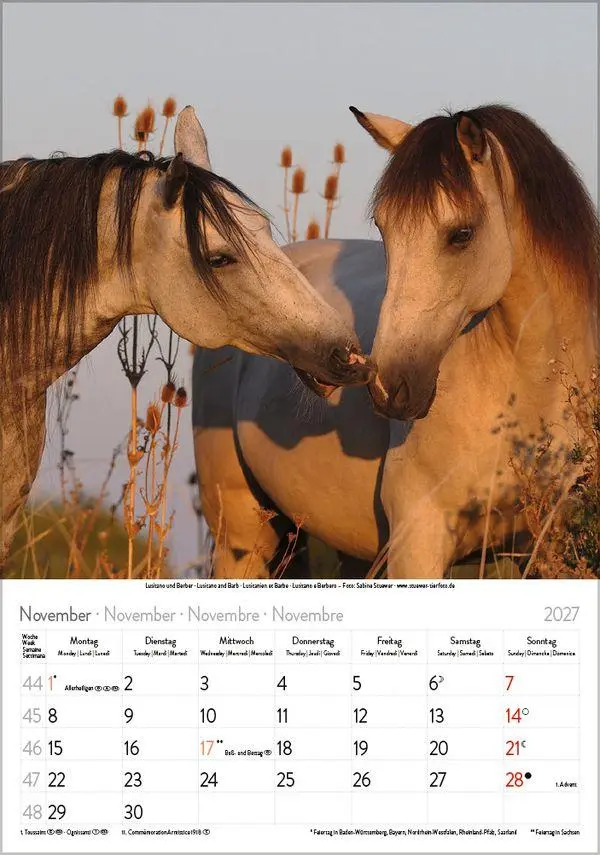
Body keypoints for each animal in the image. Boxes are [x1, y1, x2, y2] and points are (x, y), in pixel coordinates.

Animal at [192, 104, 598, 579]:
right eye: (385, 229)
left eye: (462, 234)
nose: (389, 388)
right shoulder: (418, 541)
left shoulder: (549, 546)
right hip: (241, 538)